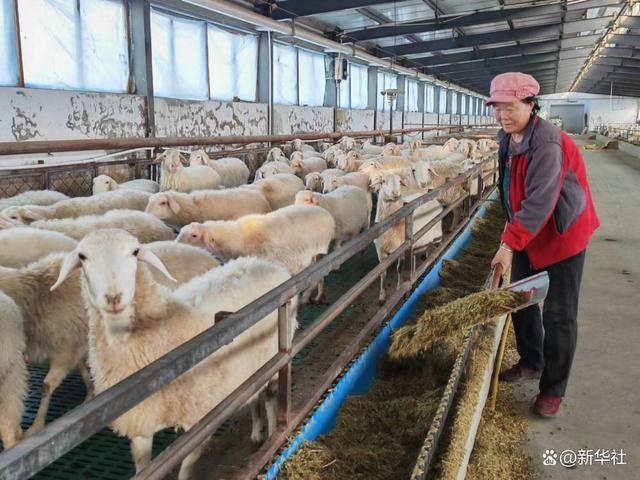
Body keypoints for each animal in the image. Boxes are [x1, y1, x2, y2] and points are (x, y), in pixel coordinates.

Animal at [50, 231, 298, 478]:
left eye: (135, 251)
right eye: (82, 256)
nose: (113, 297)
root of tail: (263, 262)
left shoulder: (199, 420)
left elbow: (185, 468)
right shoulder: (142, 422)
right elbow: (144, 467)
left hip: (275, 355)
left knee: (270, 398)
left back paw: (272, 435)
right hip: (251, 366)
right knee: (255, 394)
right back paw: (257, 431)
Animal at [176, 203, 336, 302]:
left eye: (194, 235)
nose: (176, 246)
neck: (239, 239)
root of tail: (327, 214)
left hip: (319, 250)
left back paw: (308, 296)